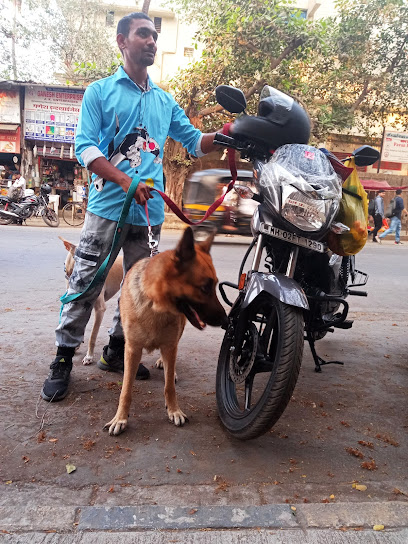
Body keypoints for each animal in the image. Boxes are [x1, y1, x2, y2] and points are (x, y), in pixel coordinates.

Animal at [104, 227, 226, 436]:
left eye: (215, 285)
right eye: (204, 288)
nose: (227, 319)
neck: (154, 306)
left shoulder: (170, 346)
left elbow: (169, 386)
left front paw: (174, 410)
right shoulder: (132, 350)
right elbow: (126, 390)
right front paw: (120, 418)